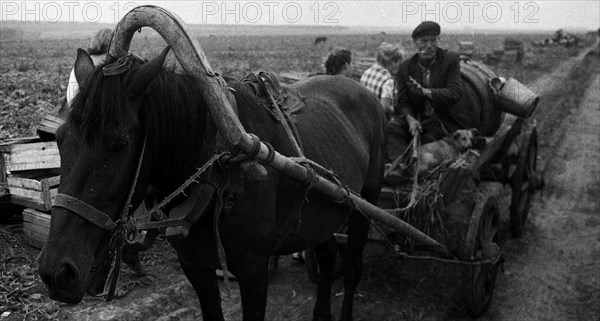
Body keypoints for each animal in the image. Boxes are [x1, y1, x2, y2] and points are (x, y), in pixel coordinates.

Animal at [36, 43, 384, 318]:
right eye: (60, 140)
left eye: (118, 143)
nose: (56, 272)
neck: (220, 174)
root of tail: (362, 91)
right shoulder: (195, 266)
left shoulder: (253, 269)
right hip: (321, 214)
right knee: (327, 256)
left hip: (366, 203)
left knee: (352, 267)